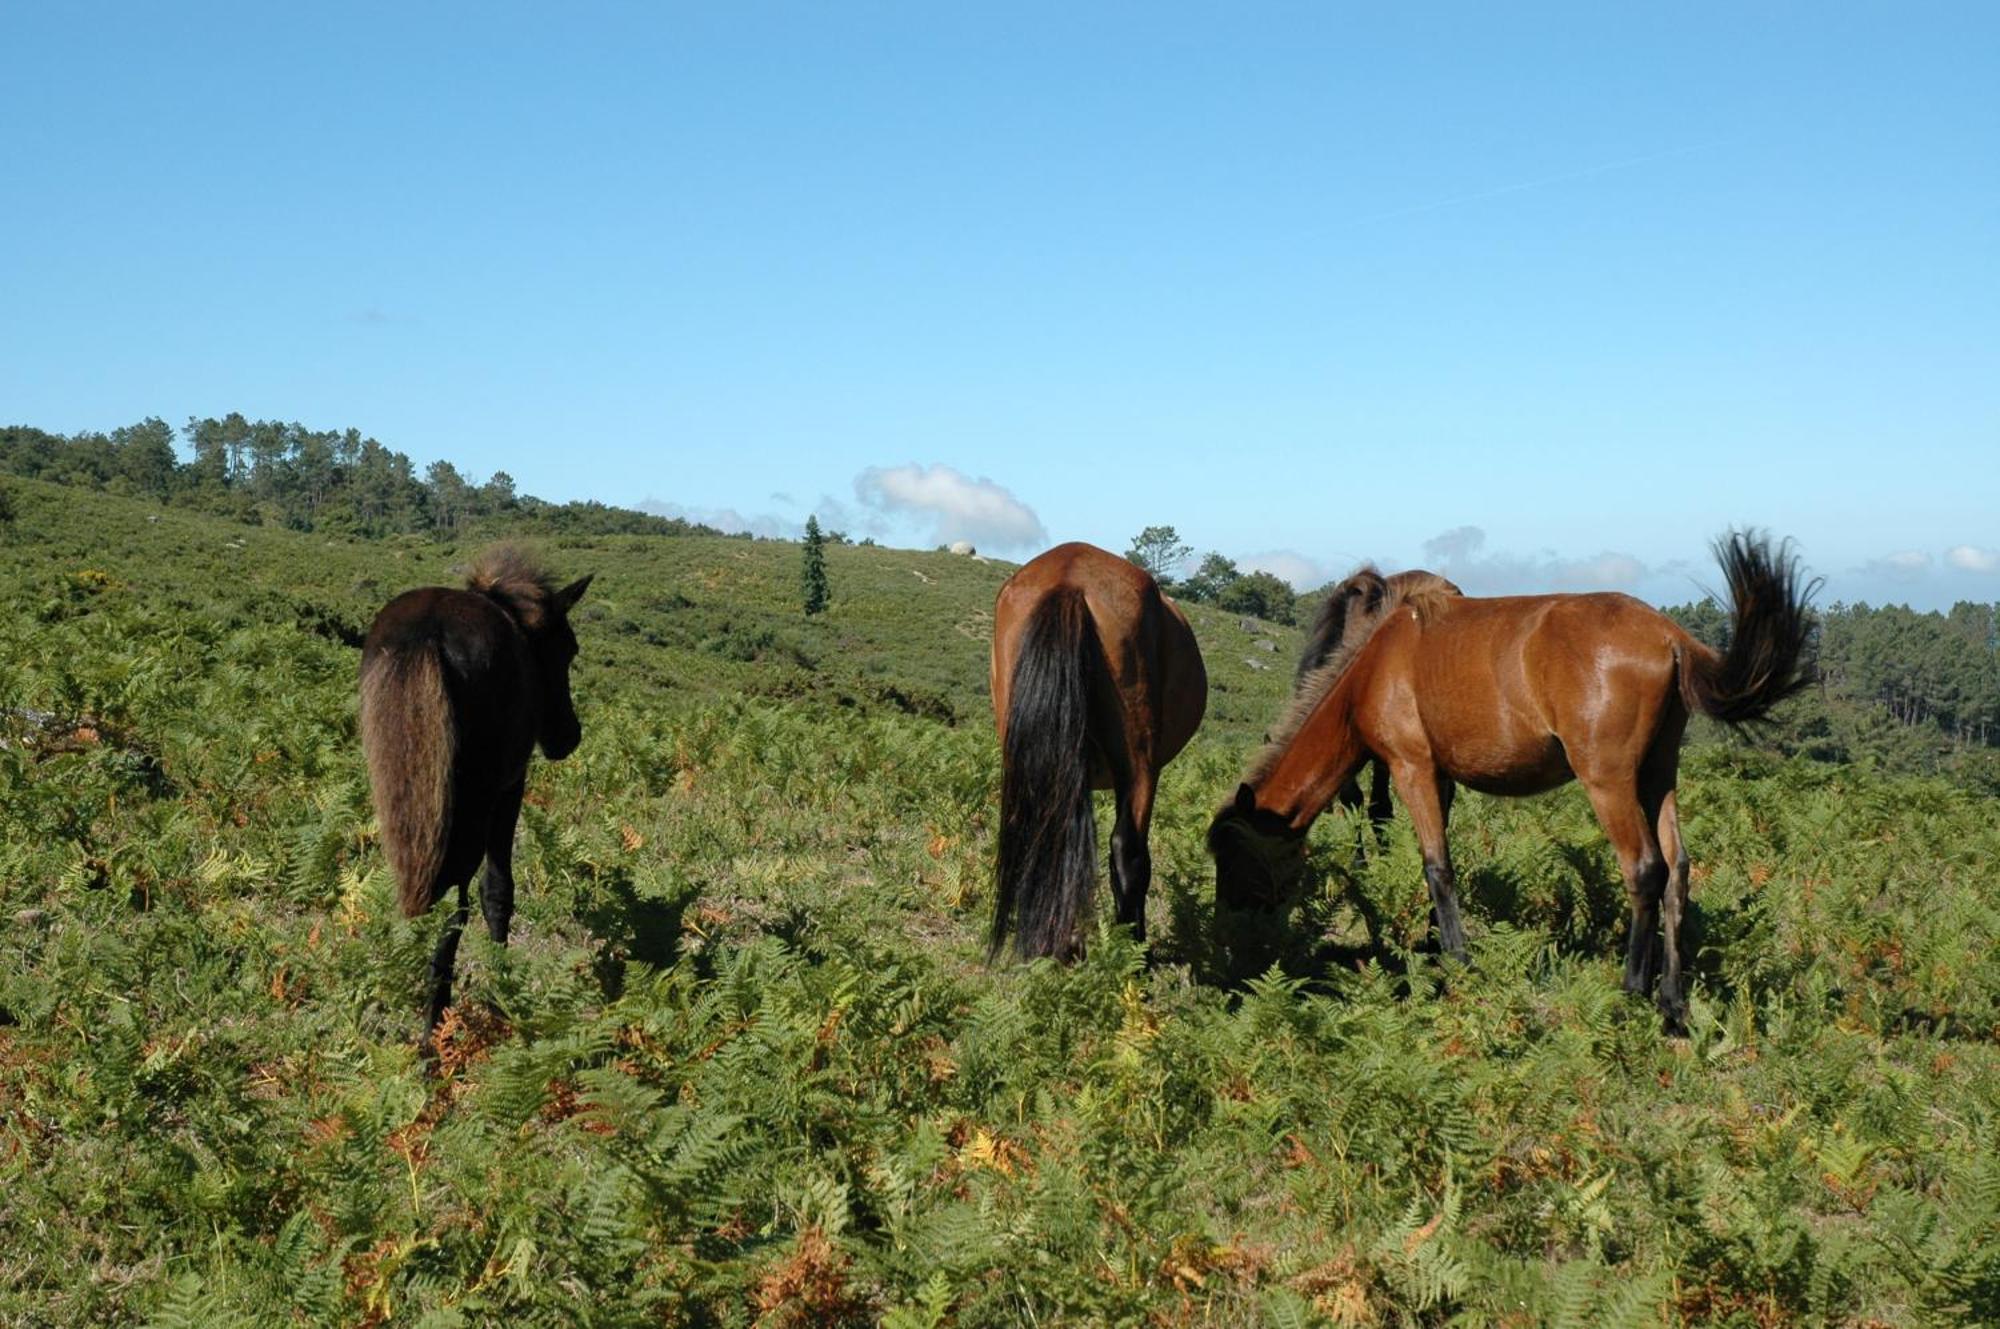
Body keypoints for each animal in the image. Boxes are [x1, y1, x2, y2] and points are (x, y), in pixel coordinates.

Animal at [358, 544, 588, 1040]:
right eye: (568, 649)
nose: (569, 737)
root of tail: (427, 634)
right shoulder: (511, 786)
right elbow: (498, 890)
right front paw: (503, 990)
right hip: (473, 806)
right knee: (453, 910)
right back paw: (433, 1035)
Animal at [1208, 536, 1824, 1032]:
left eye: (1232, 858)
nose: (1232, 935)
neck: (1374, 664)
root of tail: (1670, 636)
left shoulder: (1412, 769)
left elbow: (1437, 867)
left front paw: (1457, 961)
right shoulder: (1444, 779)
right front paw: (1436, 945)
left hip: (1610, 782)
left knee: (1645, 870)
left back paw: (1632, 990)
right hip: (1658, 776)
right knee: (1678, 872)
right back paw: (1672, 1003)